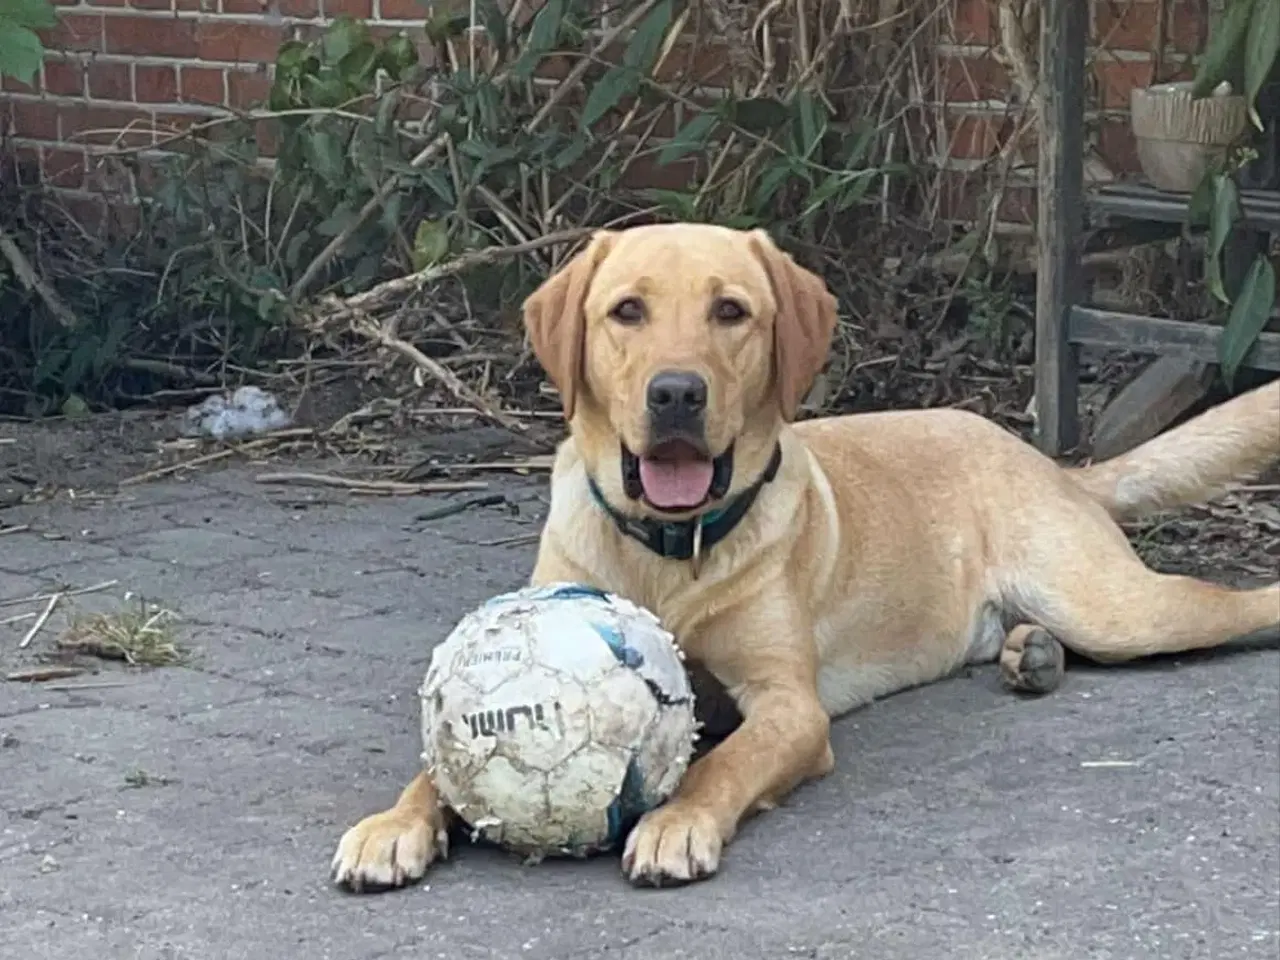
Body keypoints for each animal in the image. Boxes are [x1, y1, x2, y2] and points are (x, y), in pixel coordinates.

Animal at [332, 224, 1280, 896]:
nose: (676, 393)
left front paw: (677, 822)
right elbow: (434, 765)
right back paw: (1031, 654)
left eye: (731, 311)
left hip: (1118, 607)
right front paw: (393, 824)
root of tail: (1049, 463)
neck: (673, 550)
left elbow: (723, 762)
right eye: (627, 311)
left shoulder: (790, 707)